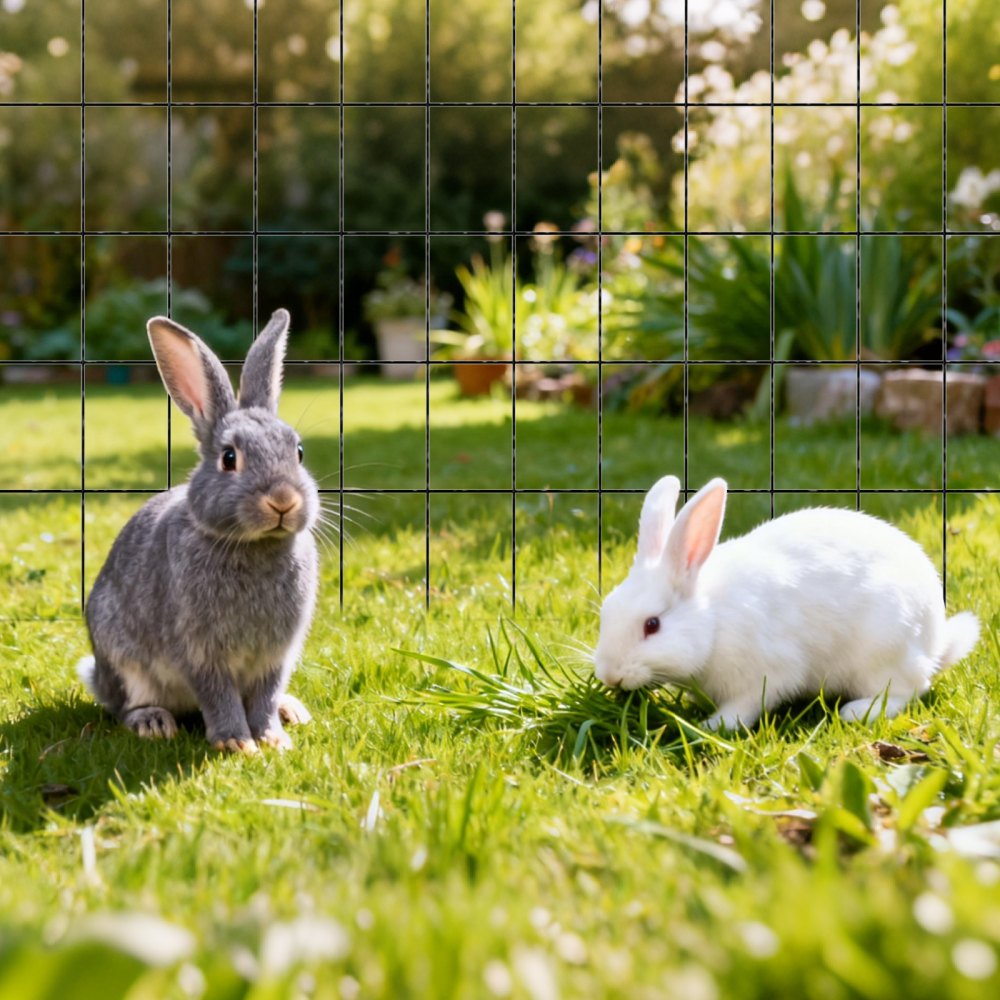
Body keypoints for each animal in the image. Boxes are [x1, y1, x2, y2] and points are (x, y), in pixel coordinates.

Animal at [77, 309, 319, 753]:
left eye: (298, 452)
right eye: (229, 458)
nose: (283, 500)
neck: (251, 544)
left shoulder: (276, 655)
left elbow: (265, 694)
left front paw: (272, 738)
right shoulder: (200, 652)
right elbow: (218, 693)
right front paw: (237, 743)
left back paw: (290, 709)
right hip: (122, 662)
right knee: (124, 706)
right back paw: (152, 722)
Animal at [594, 474, 980, 731]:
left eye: (652, 625)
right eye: (606, 611)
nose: (610, 675)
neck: (713, 621)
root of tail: (934, 645)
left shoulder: (769, 673)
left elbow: (749, 704)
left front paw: (714, 725)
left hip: (883, 652)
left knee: (908, 690)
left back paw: (857, 711)